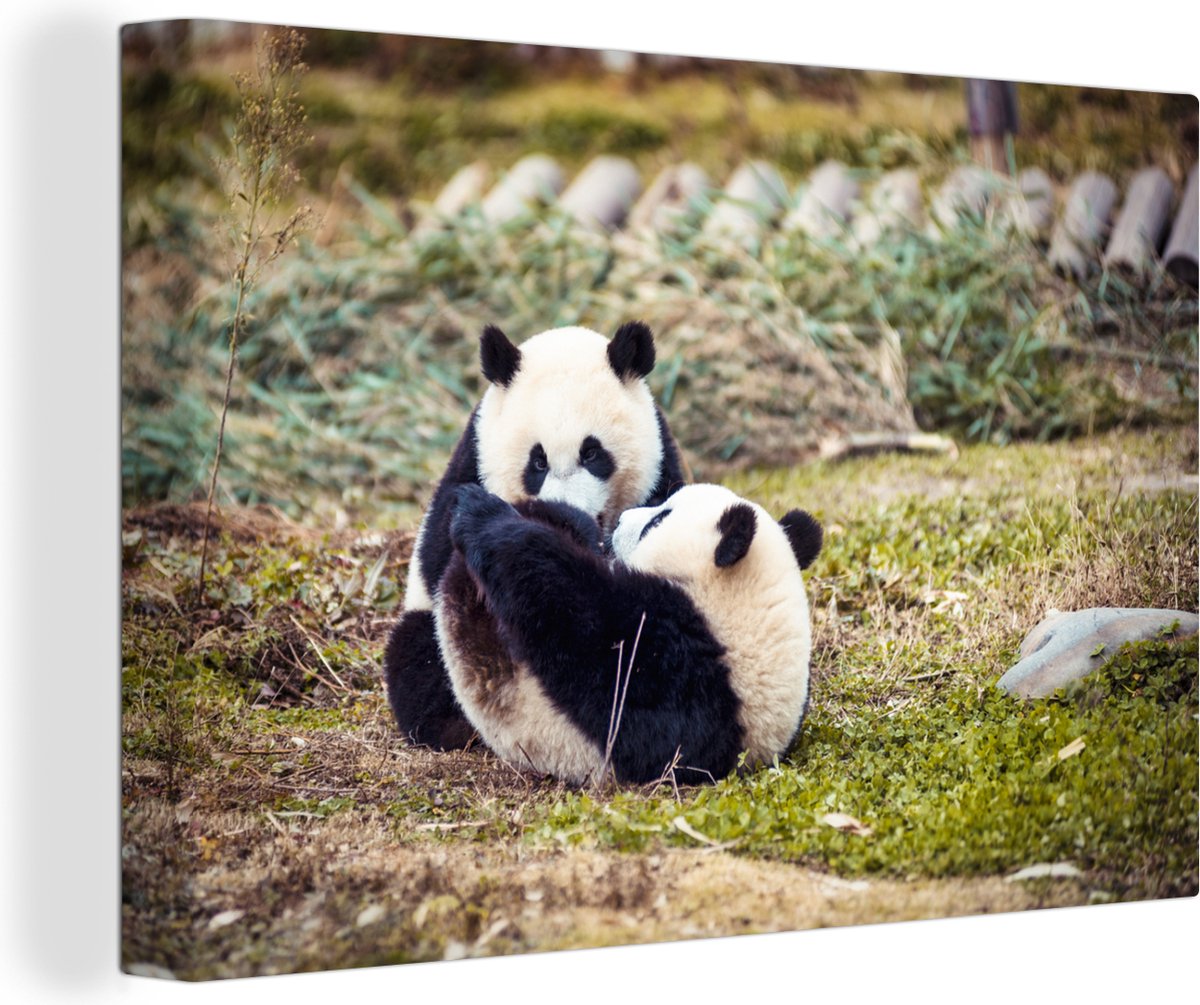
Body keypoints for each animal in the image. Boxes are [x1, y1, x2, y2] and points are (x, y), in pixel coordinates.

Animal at [384, 321, 687, 749]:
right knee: (417, 657)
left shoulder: (661, 471)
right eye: (538, 461)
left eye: (592, 453)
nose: (569, 512)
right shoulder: (471, 467)